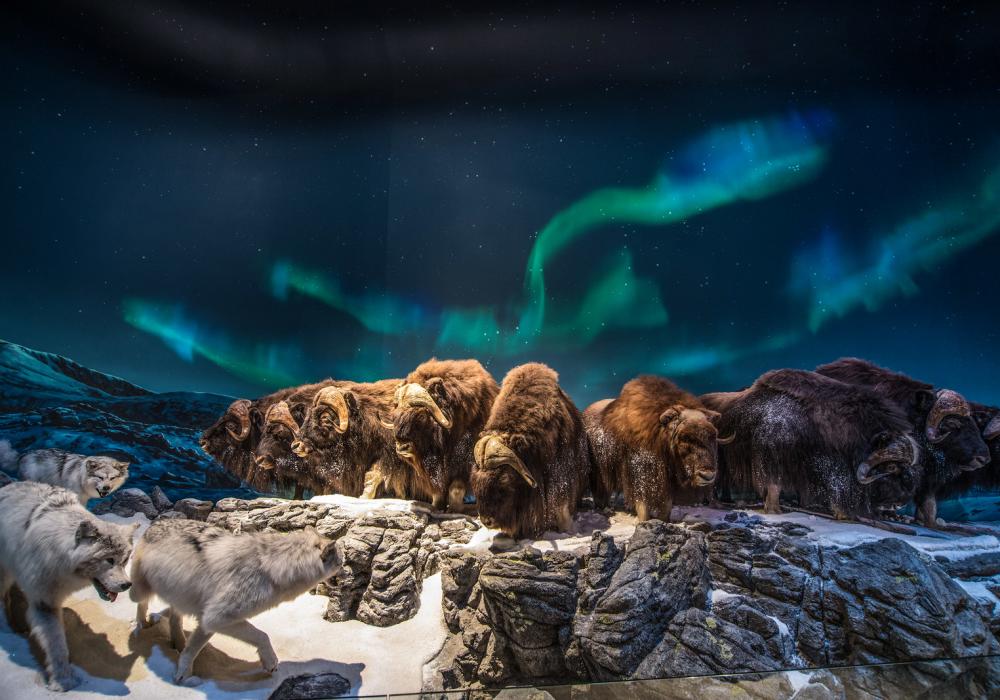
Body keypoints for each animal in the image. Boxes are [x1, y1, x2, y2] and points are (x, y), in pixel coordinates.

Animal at [0, 482, 139, 688]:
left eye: (124, 560)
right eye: (109, 560)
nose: (126, 584)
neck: (59, 557)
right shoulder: (44, 603)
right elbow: (57, 645)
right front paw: (63, 680)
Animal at [131, 520, 342, 684]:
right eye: (340, 562)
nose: (346, 572)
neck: (272, 569)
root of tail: (155, 523)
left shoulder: (209, 621)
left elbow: (192, 649)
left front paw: (184, 673)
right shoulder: (216, 618)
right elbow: (262, 636)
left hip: (180, 598)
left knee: (175, 619)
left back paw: (177, 642)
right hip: (138, 591)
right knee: (142, 604)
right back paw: (141, 625)